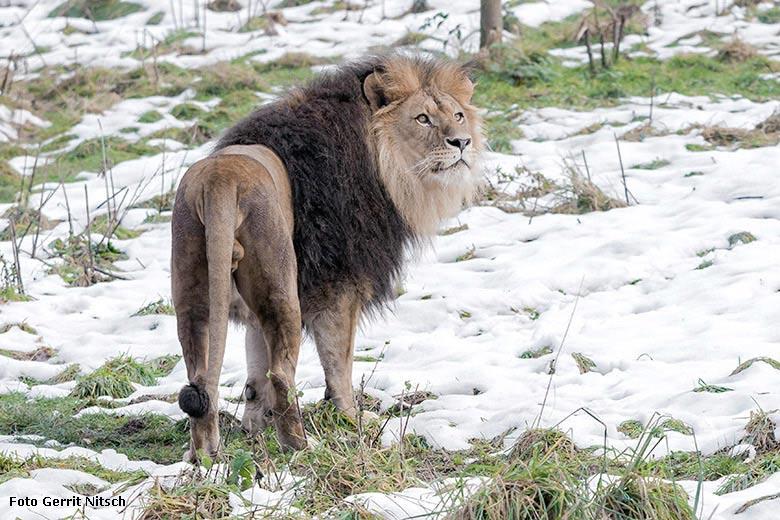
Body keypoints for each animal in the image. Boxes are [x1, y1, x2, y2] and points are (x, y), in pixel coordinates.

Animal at [174, 52, 484, 460]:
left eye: (458, 115)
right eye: (422, 118)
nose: (462, 142)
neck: (384, 167)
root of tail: (220, 182)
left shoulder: (256, 312)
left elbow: (254, 373)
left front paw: (253, 429)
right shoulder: (340, 288)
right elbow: (340, 366)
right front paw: (352, 420)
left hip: (196, 294)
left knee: (203, 378)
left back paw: (205, 458)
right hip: (283, 289)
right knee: (282, 376)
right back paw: (301, 447)